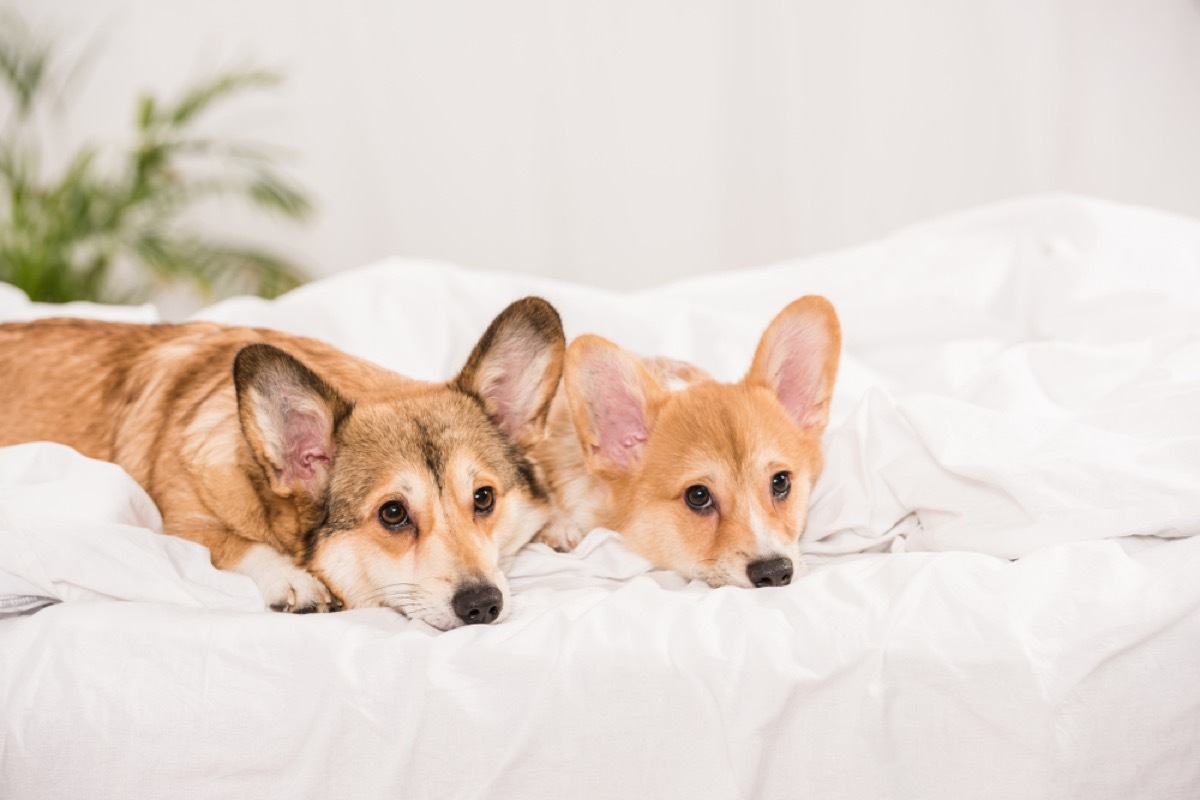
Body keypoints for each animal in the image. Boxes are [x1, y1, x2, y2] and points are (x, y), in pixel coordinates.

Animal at [0, 297, 566, 628]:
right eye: (393, 513)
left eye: (484, 498)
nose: (484, 605)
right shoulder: (172, 527)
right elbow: (231, 542)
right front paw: (293, 581)